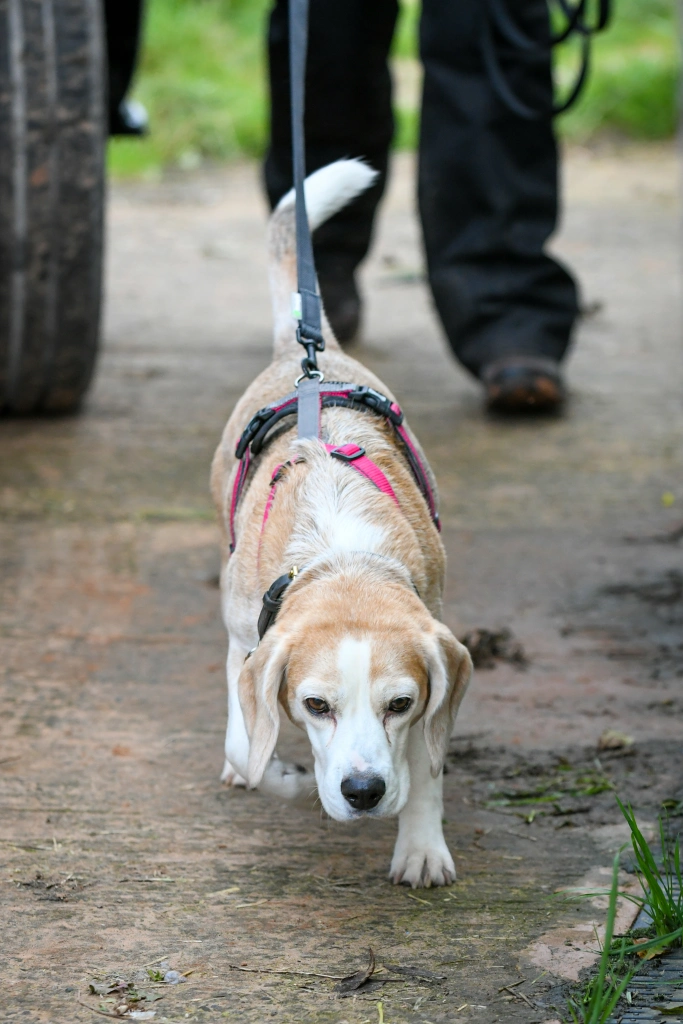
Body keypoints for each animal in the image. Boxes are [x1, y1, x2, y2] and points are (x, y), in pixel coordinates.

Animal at [210, 159, 473, 888]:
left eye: (400, 705)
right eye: (315, 706)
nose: (362, 793)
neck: (344, 557)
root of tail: (305, 352)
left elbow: (426, 762)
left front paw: (420, 845)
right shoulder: (249, 642)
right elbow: (247, 740)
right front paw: (283, 776)